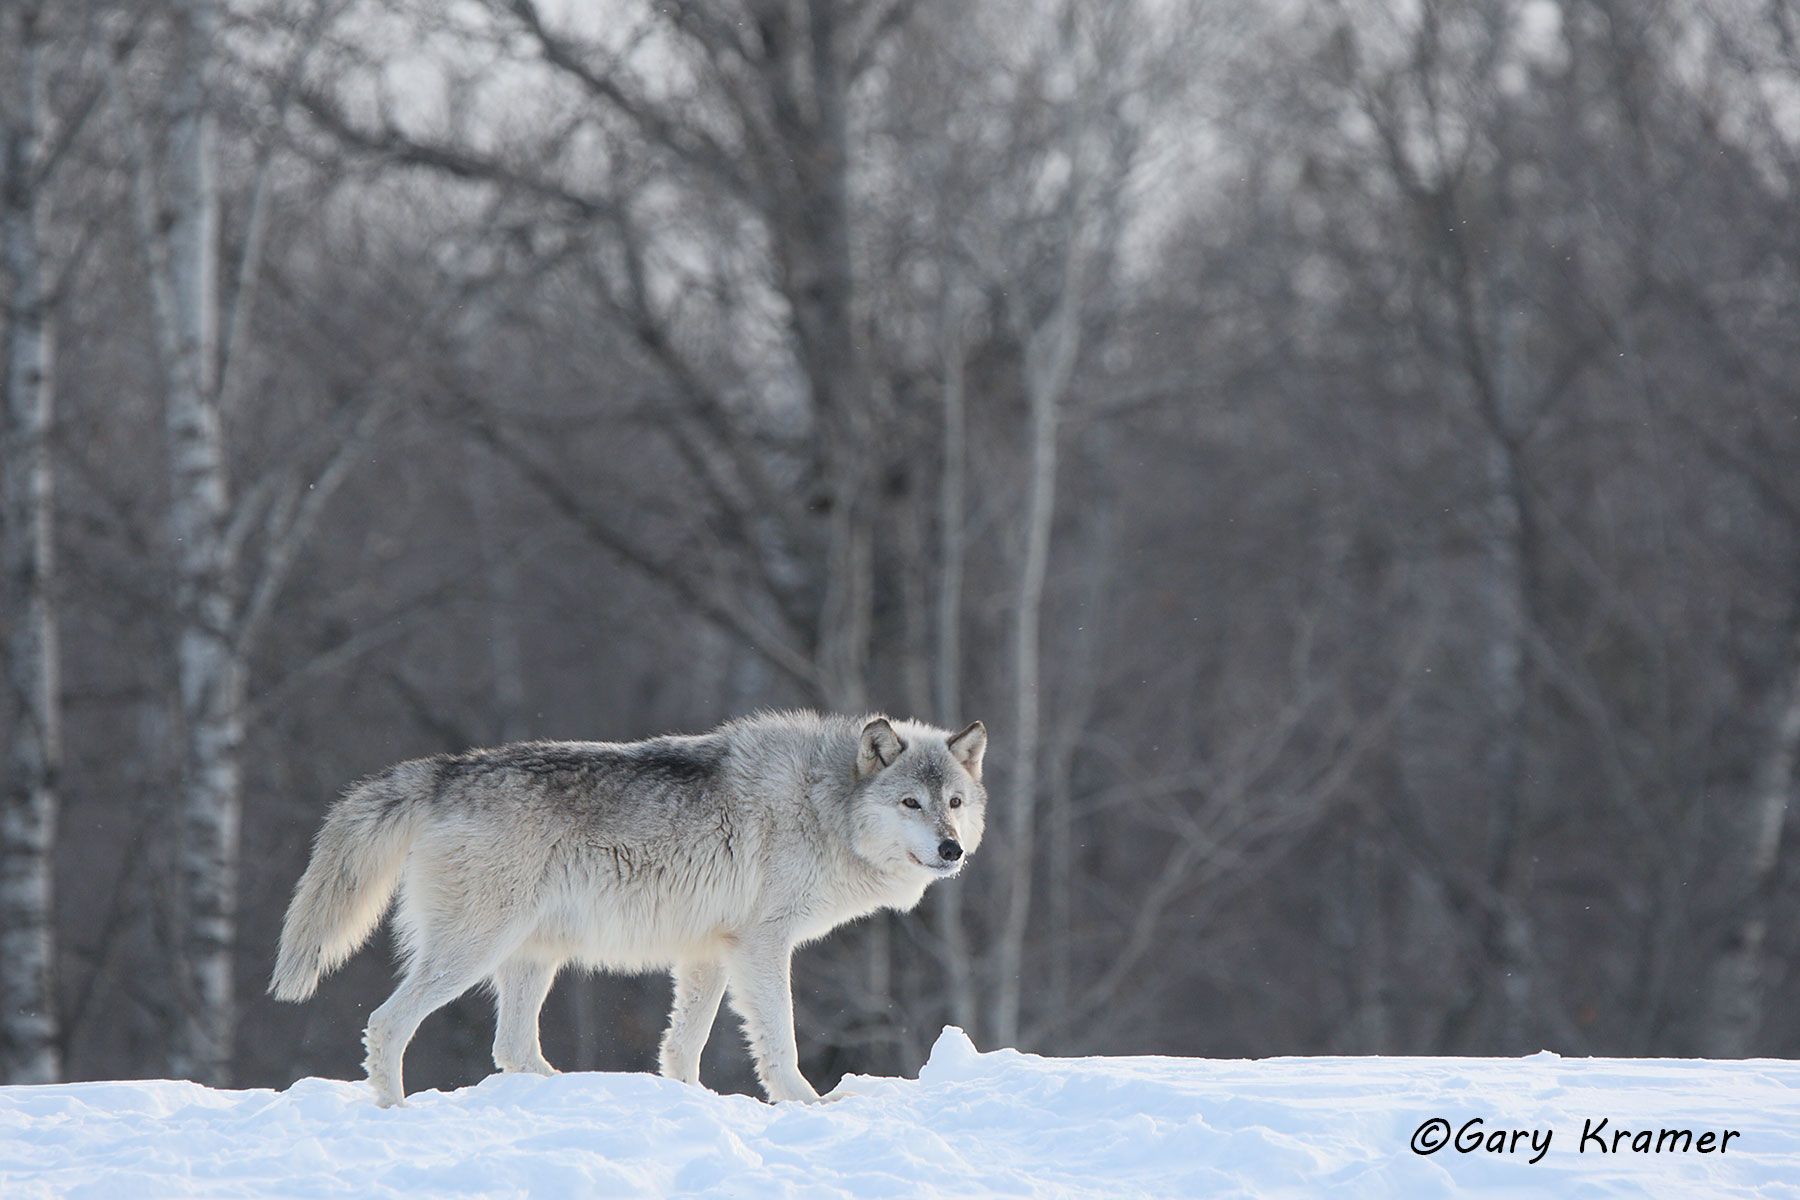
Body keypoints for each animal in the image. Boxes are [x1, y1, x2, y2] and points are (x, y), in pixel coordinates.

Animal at [269, 710, 987, 1107]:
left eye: (953, 802)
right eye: (910, 803)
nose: (952, 849)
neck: (822, 802)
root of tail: (444, 771)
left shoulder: (708, 954)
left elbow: (682, 1047)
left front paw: (691, 1102)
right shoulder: (763, 948)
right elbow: (780, 1041)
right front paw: (808, 1105)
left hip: (533, 959)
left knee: (512, 1049)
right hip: (472, 953)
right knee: (388, 1024)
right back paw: (396, 1113)